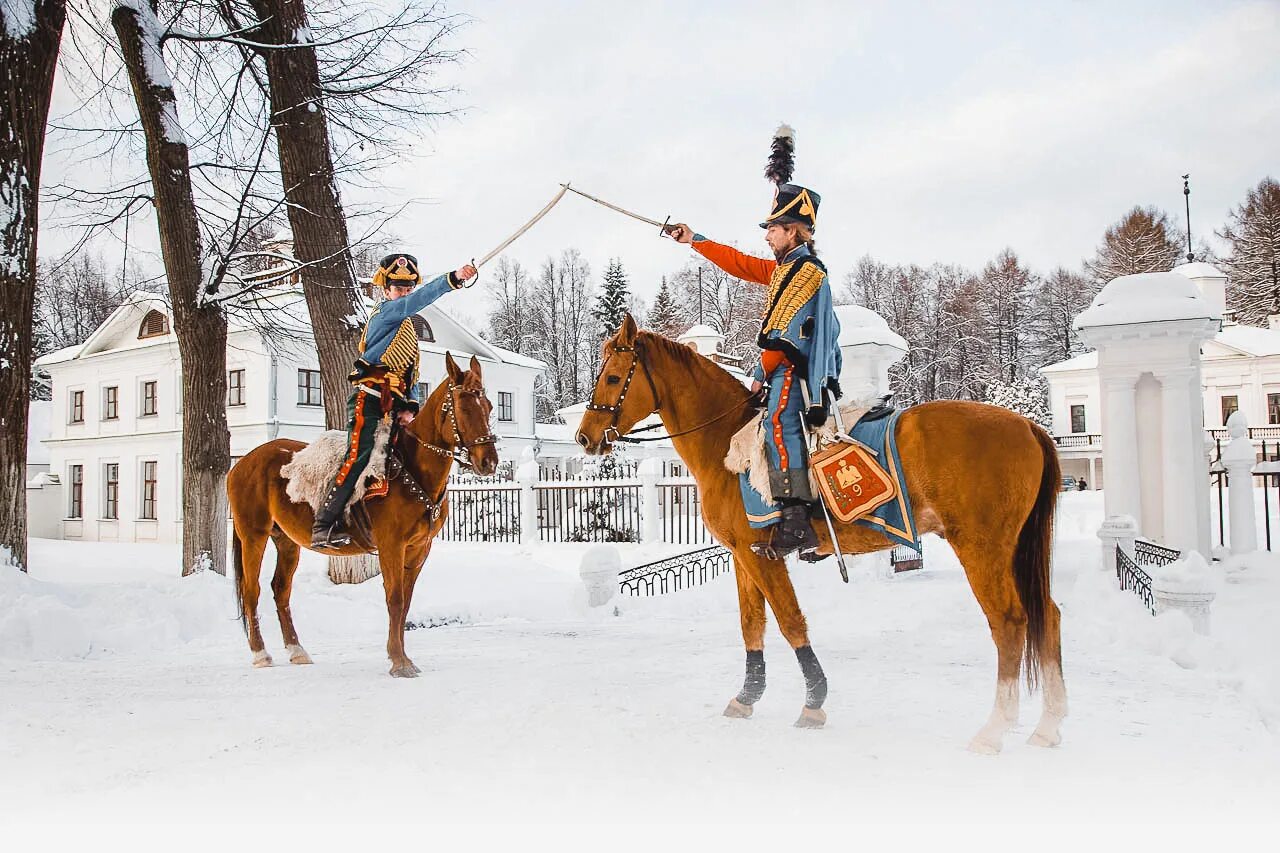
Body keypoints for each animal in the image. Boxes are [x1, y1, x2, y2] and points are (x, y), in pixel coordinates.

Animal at [227, 348, 496, 676]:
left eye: (489, 406)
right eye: (464, 407)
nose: (489, 462)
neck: (409, 467)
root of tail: (242, 463)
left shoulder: (419, 549)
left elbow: (405, 601)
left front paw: (402, 657)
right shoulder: (392, 545)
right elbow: (394, 598)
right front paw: (398, 660)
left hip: (287, 541)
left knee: (281, 589)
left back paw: (296, 649)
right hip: (253, 535)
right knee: (251, 590)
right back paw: (260, 653)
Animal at [576, 313, 1064, 753]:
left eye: (614, 376)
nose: (584, 436)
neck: (726, 441)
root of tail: (1027, 425)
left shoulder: (760, 554)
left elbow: (790, 621)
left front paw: (814, 702)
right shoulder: (744, 555)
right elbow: (751, 625)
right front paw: (748, 696)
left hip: (982, 548)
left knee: (1009, 622)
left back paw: (995, 729)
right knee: (1048, 616)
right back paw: (1047, 725)